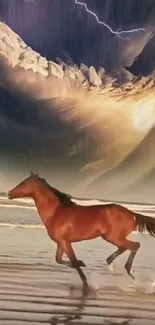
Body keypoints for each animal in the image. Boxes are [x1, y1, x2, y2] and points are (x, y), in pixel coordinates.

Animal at [7, 173, 155, 292]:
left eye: (23, 183)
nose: (9, 193)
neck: (56, 213)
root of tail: (131, 213)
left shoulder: (66, 242)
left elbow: (72, 260)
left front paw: (85, 283)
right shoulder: (61, 242)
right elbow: (60, 260)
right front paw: (82, 263)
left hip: (112, 237)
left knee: (134, 245)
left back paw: (129, 271)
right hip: (111, 237)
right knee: (125, 247)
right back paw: (112, 263)